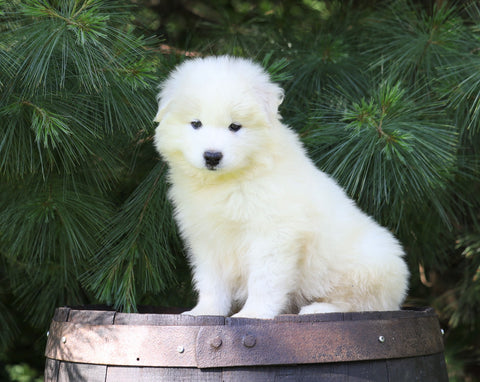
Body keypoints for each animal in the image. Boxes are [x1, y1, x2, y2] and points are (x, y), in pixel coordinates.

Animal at [154, 56, 408, 320]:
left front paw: (252, 314)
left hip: (367, 270)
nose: (212, 156)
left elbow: (264, 280)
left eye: (235, 126)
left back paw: (318, 309)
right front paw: (203, 312)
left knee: (363, 305)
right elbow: (211, 281)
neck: (229, 181)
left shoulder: (273, 234)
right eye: (196, 124)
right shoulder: (207, 238)